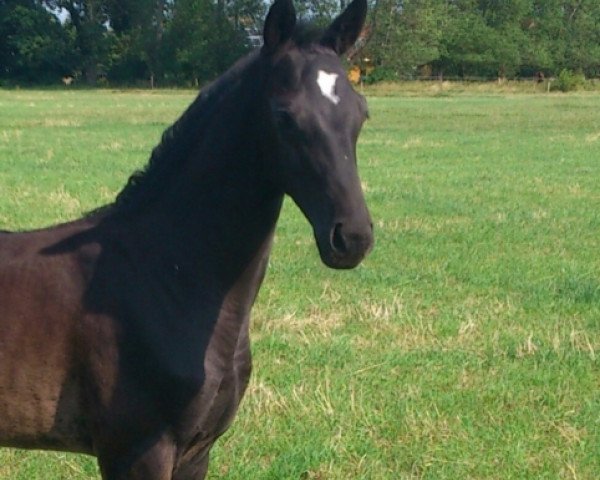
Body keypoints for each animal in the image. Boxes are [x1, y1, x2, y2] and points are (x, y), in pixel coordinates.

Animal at [0, 1, 372, 478]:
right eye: (284, 116)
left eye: (360, 113)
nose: (352, 237)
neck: (169, 274)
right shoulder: (137, 450)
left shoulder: (197, 450)